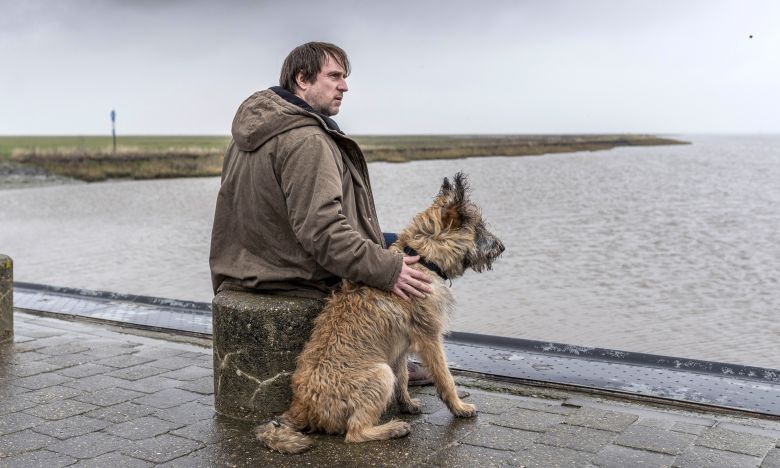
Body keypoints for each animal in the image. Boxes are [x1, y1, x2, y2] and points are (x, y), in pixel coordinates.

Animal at [258, 173, 506, 454]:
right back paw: (393, 428)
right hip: (379, 374)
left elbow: (404, 377)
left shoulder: (400, 348)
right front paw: (459, 407)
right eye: (479, 227)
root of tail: (301, 405)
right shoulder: (430, 339)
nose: (502, 247)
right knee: (355, 432)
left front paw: (407, 403)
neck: (422, 257)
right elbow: (445, 378)